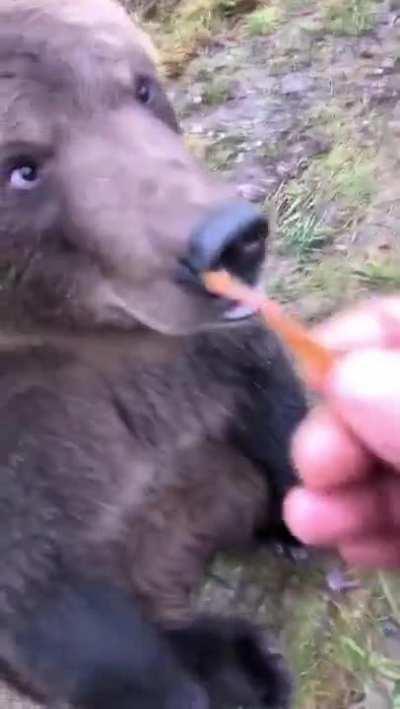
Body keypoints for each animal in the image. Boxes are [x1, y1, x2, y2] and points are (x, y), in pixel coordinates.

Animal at [0, 0, 307, 706]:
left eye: (141, 87)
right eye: (22, 166)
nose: (232, 240)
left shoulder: (198, 359)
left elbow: (271, 405)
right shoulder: (26, 455)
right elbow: (64, 615)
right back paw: (240, 663)